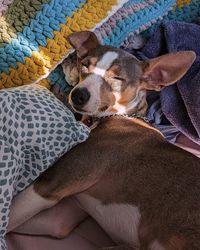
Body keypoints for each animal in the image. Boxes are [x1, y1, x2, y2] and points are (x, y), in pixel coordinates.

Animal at [7, 31, 200, 250]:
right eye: (84, 65)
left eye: (117, 78)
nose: (78, 95)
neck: (121, 116)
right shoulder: (60, 221)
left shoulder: (49, 186)